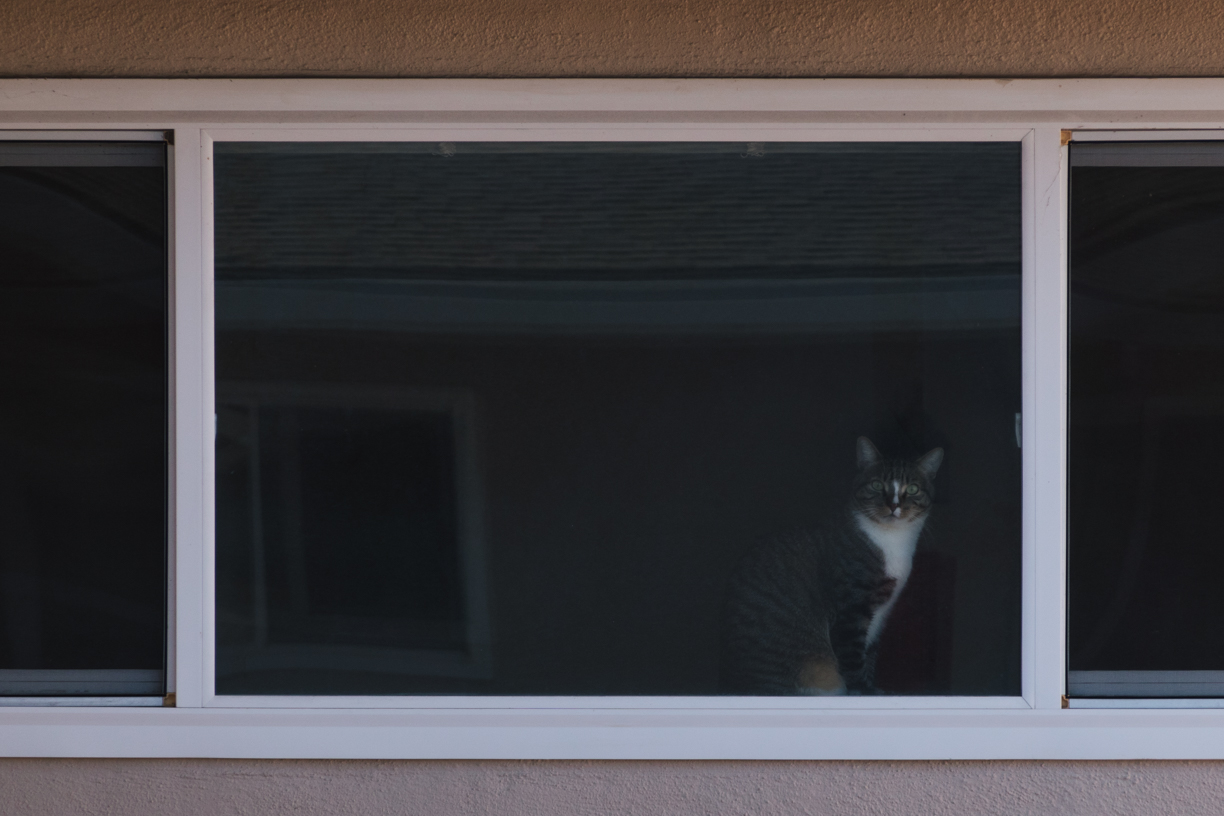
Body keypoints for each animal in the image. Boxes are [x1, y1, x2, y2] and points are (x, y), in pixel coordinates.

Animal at [719, 440, 940, 694]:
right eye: (876, 485)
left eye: (912, 489)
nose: (894, 505)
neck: (893, 541)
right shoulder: (850, 610)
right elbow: (853, 661)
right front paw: (864, 692)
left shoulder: (881, 613)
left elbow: (870, 656)